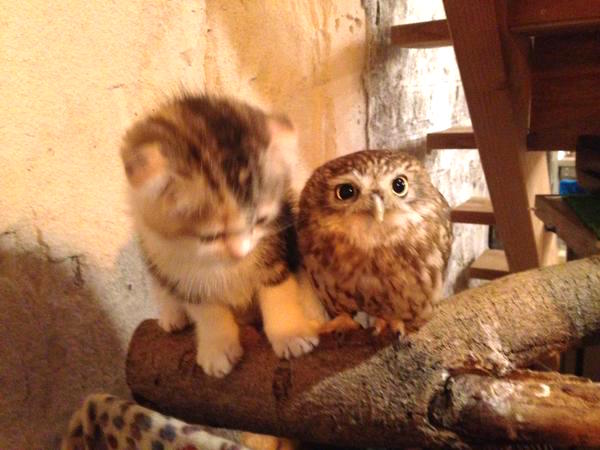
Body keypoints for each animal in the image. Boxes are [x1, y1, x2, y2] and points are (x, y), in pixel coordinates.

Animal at [119, 96, 322, 378]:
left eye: (260, 221)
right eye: (211, 236)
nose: (241, 253)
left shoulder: (276, 241)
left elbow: (278, 288)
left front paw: (290, 334)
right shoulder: (170, 259)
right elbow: (205, 308)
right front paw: (217, 348)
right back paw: (172, 314)